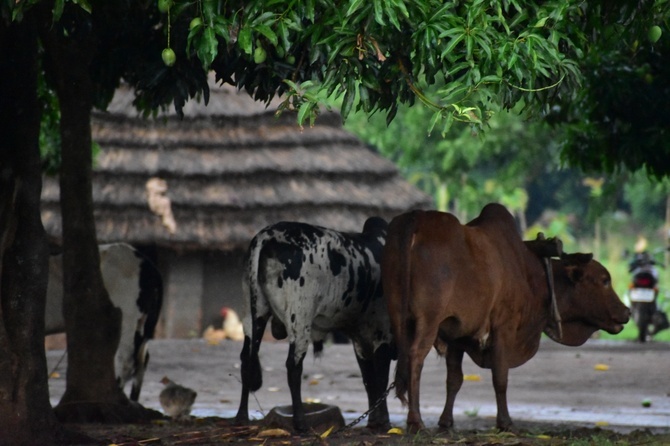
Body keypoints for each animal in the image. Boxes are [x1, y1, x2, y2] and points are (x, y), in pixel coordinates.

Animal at [235, 218, 396, 434]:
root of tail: (266, 236)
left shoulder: (361, 341)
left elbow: (369, 380)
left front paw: (373, 421)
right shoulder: (382, 334)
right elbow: (380, 380)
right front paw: (383, 422)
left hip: (253, 314)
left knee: (246, 359)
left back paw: (242, 417)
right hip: (299, 318)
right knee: (293, 366)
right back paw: (300, 422)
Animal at [386, 205, 632, 432]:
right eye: (604, 280)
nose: (627, 312)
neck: (531, 272)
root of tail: (416, 218)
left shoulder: (455, 334)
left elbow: (454, 379)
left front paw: (446, 421)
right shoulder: (504, 326)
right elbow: (500, 377)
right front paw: (505, 422)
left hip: (399, 315)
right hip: (428, 319)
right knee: (415, 357)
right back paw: (416, 421)